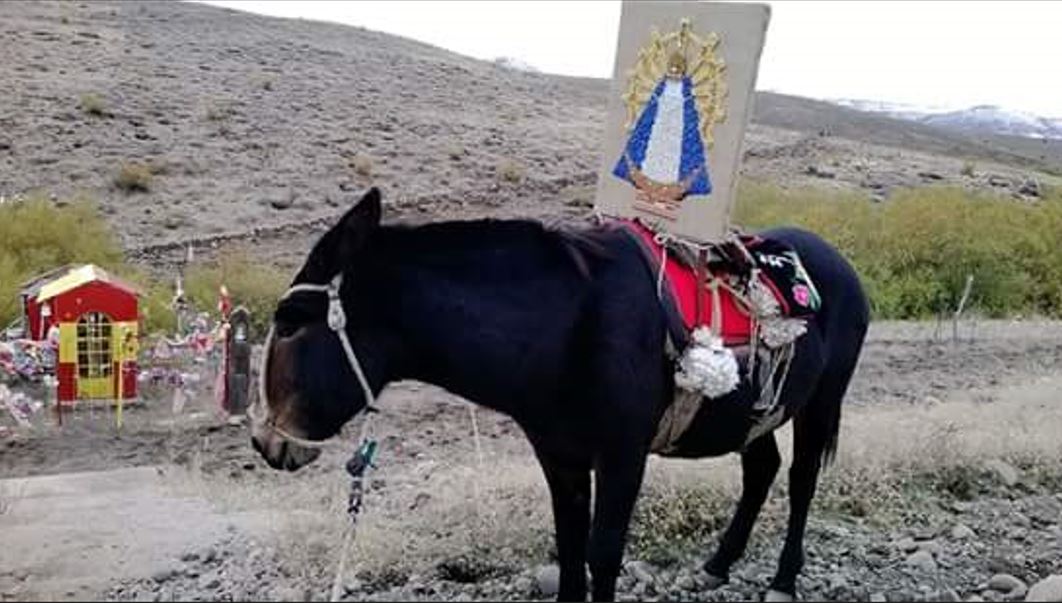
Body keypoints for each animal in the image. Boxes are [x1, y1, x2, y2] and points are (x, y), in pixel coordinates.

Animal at [252, 190, 866, 603]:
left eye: (289, 322)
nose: (263, 443)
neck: (568, 323)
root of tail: (837, 259)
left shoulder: (622, 457)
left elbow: (602, 551)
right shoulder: (559, 454)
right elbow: (569, 548)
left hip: (820, 403)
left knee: (801, 480)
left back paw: (783, 579)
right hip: (754, 412)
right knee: (762, 469)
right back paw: (718, 563)